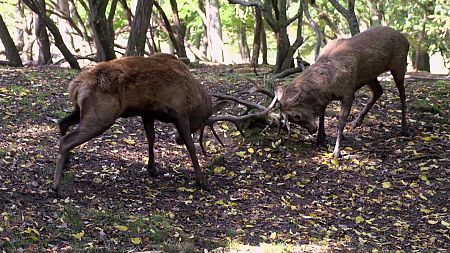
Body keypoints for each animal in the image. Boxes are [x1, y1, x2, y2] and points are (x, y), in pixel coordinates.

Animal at [53, 52, 217, 192]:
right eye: (202, 123)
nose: (178, 140)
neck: (196, 101)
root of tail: (75, 86)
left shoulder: (147, 113)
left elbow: (151, 138)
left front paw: (152, 169)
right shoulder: (180, 112)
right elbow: (191, 146)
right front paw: (202, 182)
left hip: (81, 111)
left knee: (62, 123)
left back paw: (67, 162)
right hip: (101, 115)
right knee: (66, 140)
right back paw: (56, 187)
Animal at [274, 26, 412, 159]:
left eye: (297, 116)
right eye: (292, 120)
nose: (312, 130)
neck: (327, 87)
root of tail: (406, 40)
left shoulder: (348, 94)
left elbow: (340, 123)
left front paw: (336, 152)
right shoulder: (324, 99)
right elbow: (322, 115)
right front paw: (320, 138)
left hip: (399, 65)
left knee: (402, 94)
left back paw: (404, 128)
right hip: (370, 75)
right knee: (379, 91)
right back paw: (356, 122)